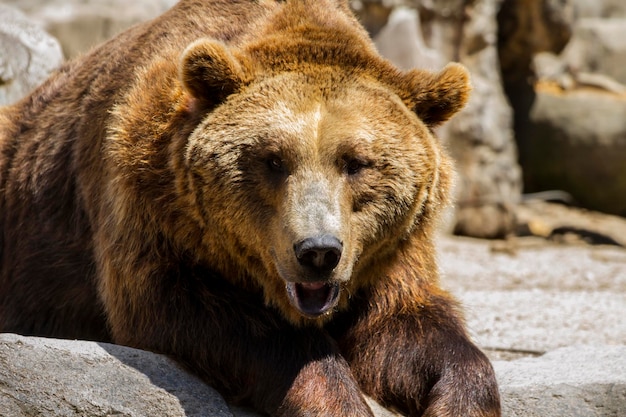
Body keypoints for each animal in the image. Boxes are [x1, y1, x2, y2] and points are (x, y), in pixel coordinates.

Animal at [0, 0, 498, 416]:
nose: (318, 251)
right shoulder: (150, 206)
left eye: (356, 162)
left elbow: (408, 325)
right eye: (274, 160)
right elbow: (218, 319)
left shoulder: (390, 253)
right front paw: (334, 397)